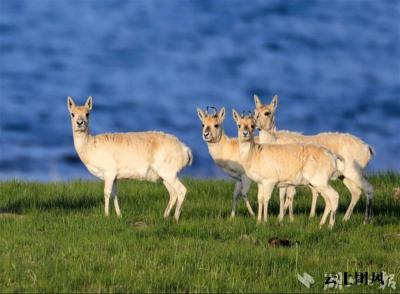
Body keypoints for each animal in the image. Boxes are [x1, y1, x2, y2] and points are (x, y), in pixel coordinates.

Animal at [255, 94, 374, 223]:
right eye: (254, 111)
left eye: (267, 112)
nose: (255, 124)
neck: (275, 141)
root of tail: (368, 149)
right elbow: (282, 195)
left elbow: (288, 195)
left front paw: (283, 219)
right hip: (344, 175)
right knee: (356, 192)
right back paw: (345, 219)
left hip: (354, 171)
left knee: (369, 189)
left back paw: (365, 221)